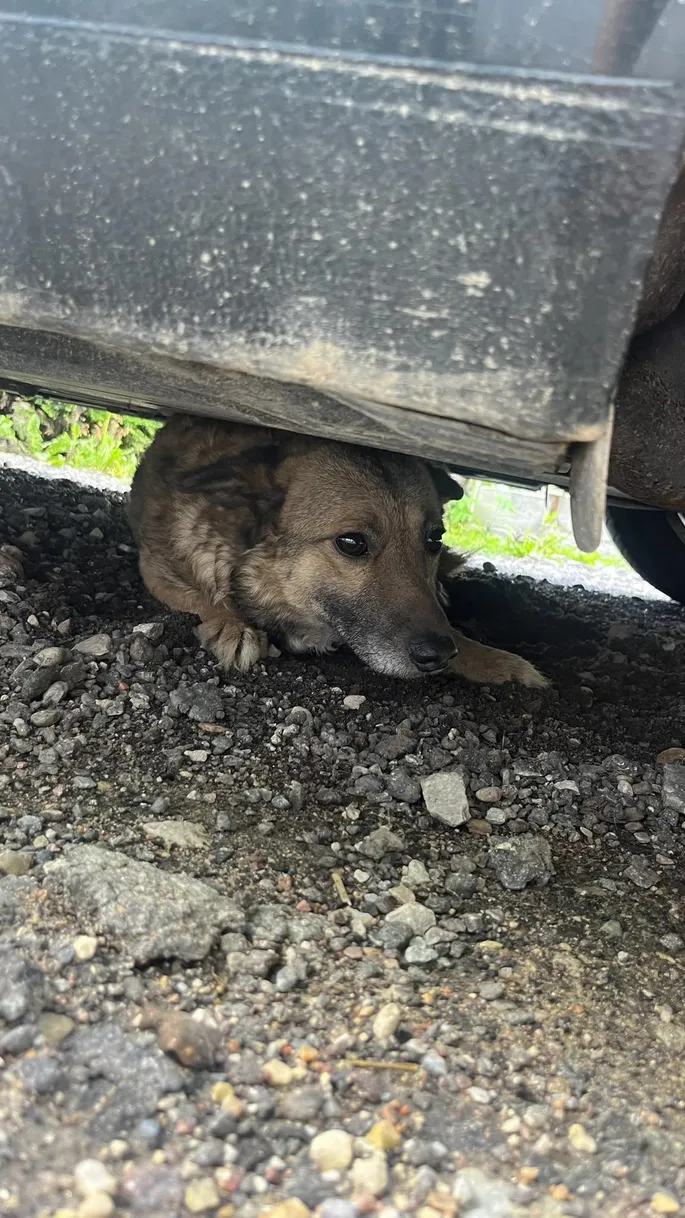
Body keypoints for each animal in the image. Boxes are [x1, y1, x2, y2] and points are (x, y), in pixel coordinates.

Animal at [129, 414, 543, 686]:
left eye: (434, 539)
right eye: (352, 542)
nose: (439, 654)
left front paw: (494, 660)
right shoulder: (157, 568)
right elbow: (202, 598)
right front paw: (231, 625)